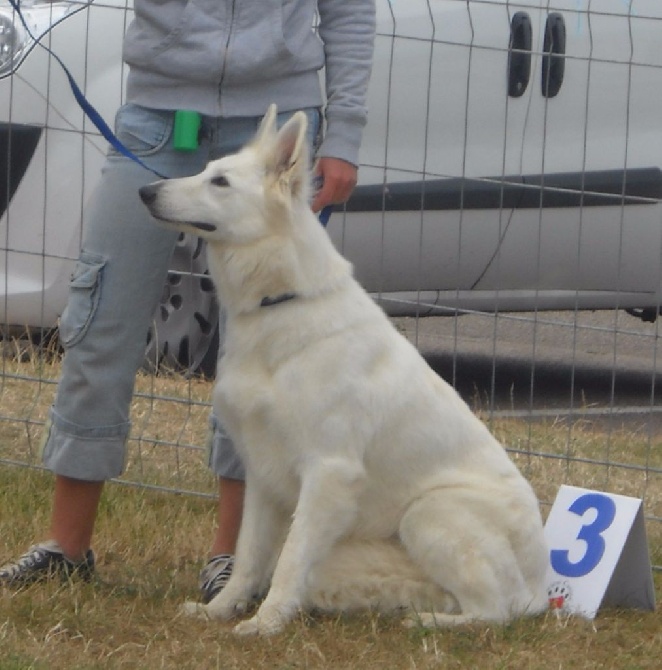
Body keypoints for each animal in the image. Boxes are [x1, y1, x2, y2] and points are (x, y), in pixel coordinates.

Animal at [140, 105, 548, 636]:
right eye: (206, 170)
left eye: (221, 182)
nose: (145, 190)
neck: (281, 302)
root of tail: (545, 589)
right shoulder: (262, 475)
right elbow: (250, 556)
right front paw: (221, 611)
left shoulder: (327, 472)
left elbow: (290, 558)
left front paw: (265, 625)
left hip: (430, 512)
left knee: (499, 609)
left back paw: (428, 623)